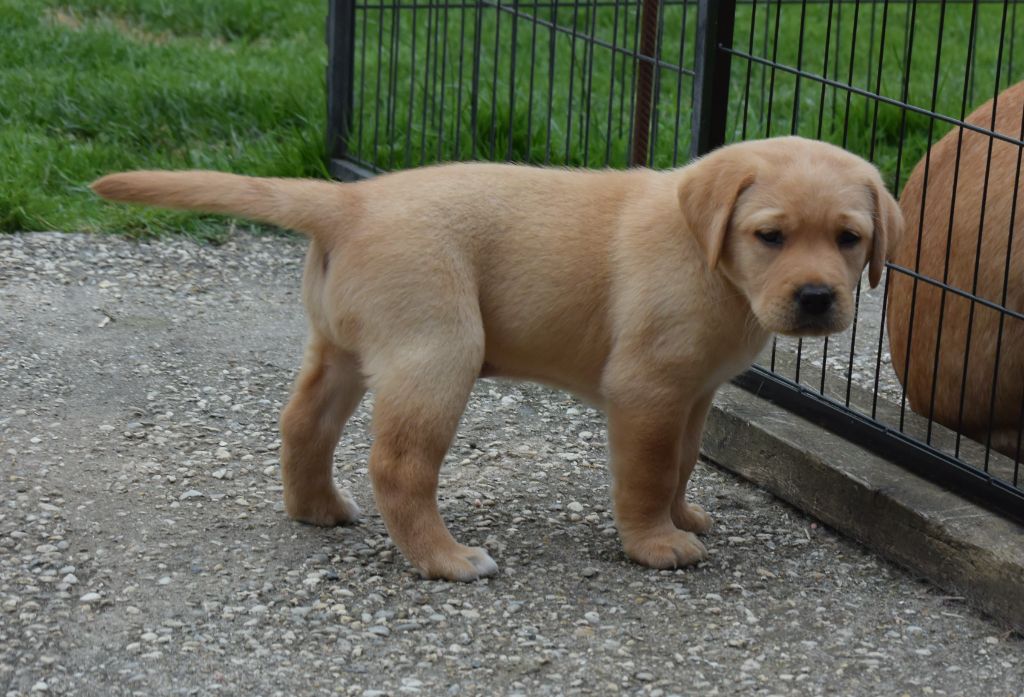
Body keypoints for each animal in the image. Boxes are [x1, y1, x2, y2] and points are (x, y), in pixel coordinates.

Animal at [92, 135, 902, 581]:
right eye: (770, 235)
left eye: (849, 238)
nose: (816, 298)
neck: (713, 265)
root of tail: (352, 201)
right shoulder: (647, 390)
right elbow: (646, 473)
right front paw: (653, 543)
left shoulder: (693, 394)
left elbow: (680, 462)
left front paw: (682, 516)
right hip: (439, 348)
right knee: (398, 465)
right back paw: (445, 558)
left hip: (343, 349)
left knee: (302, 426)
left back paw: (316, 509)